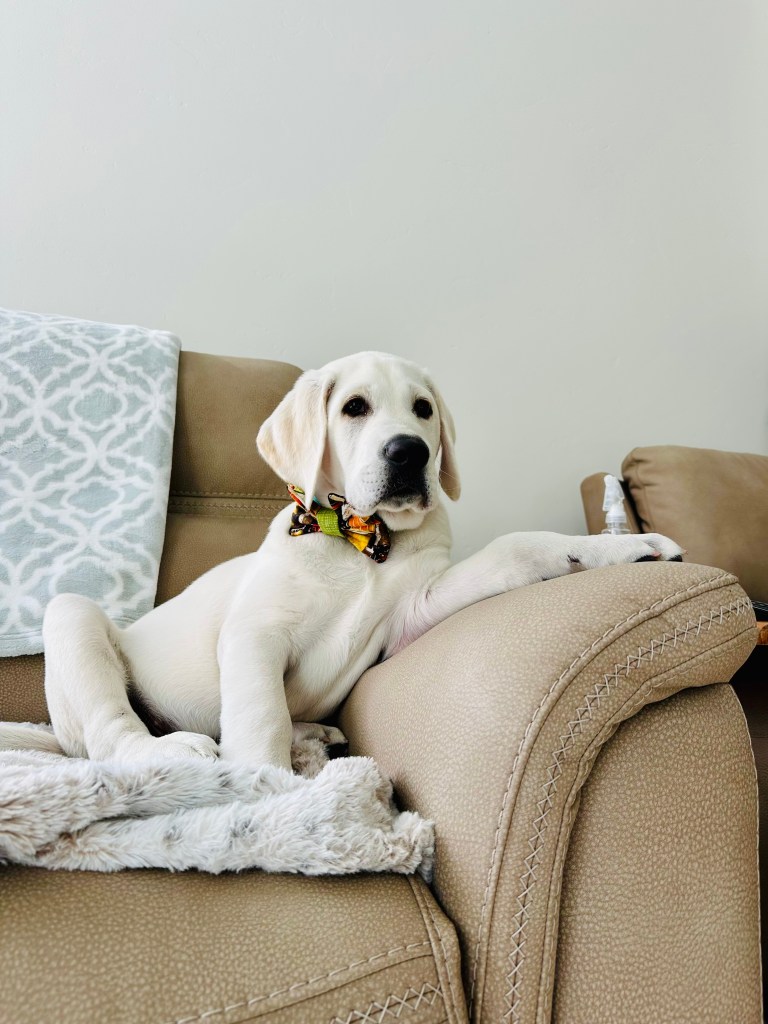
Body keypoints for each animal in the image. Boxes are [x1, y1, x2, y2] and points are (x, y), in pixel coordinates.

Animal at [33, 351, 682, 769]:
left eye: (423, 409)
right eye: (353, 408)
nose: (409, 452)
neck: (358, 541)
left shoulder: (413, 609)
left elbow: (517, 547)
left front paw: (622, 547)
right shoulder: (254, 634)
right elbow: (260, 715)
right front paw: (268, 791)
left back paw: (314, 733)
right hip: (73, 620)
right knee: (112, 733)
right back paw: (170, 749)